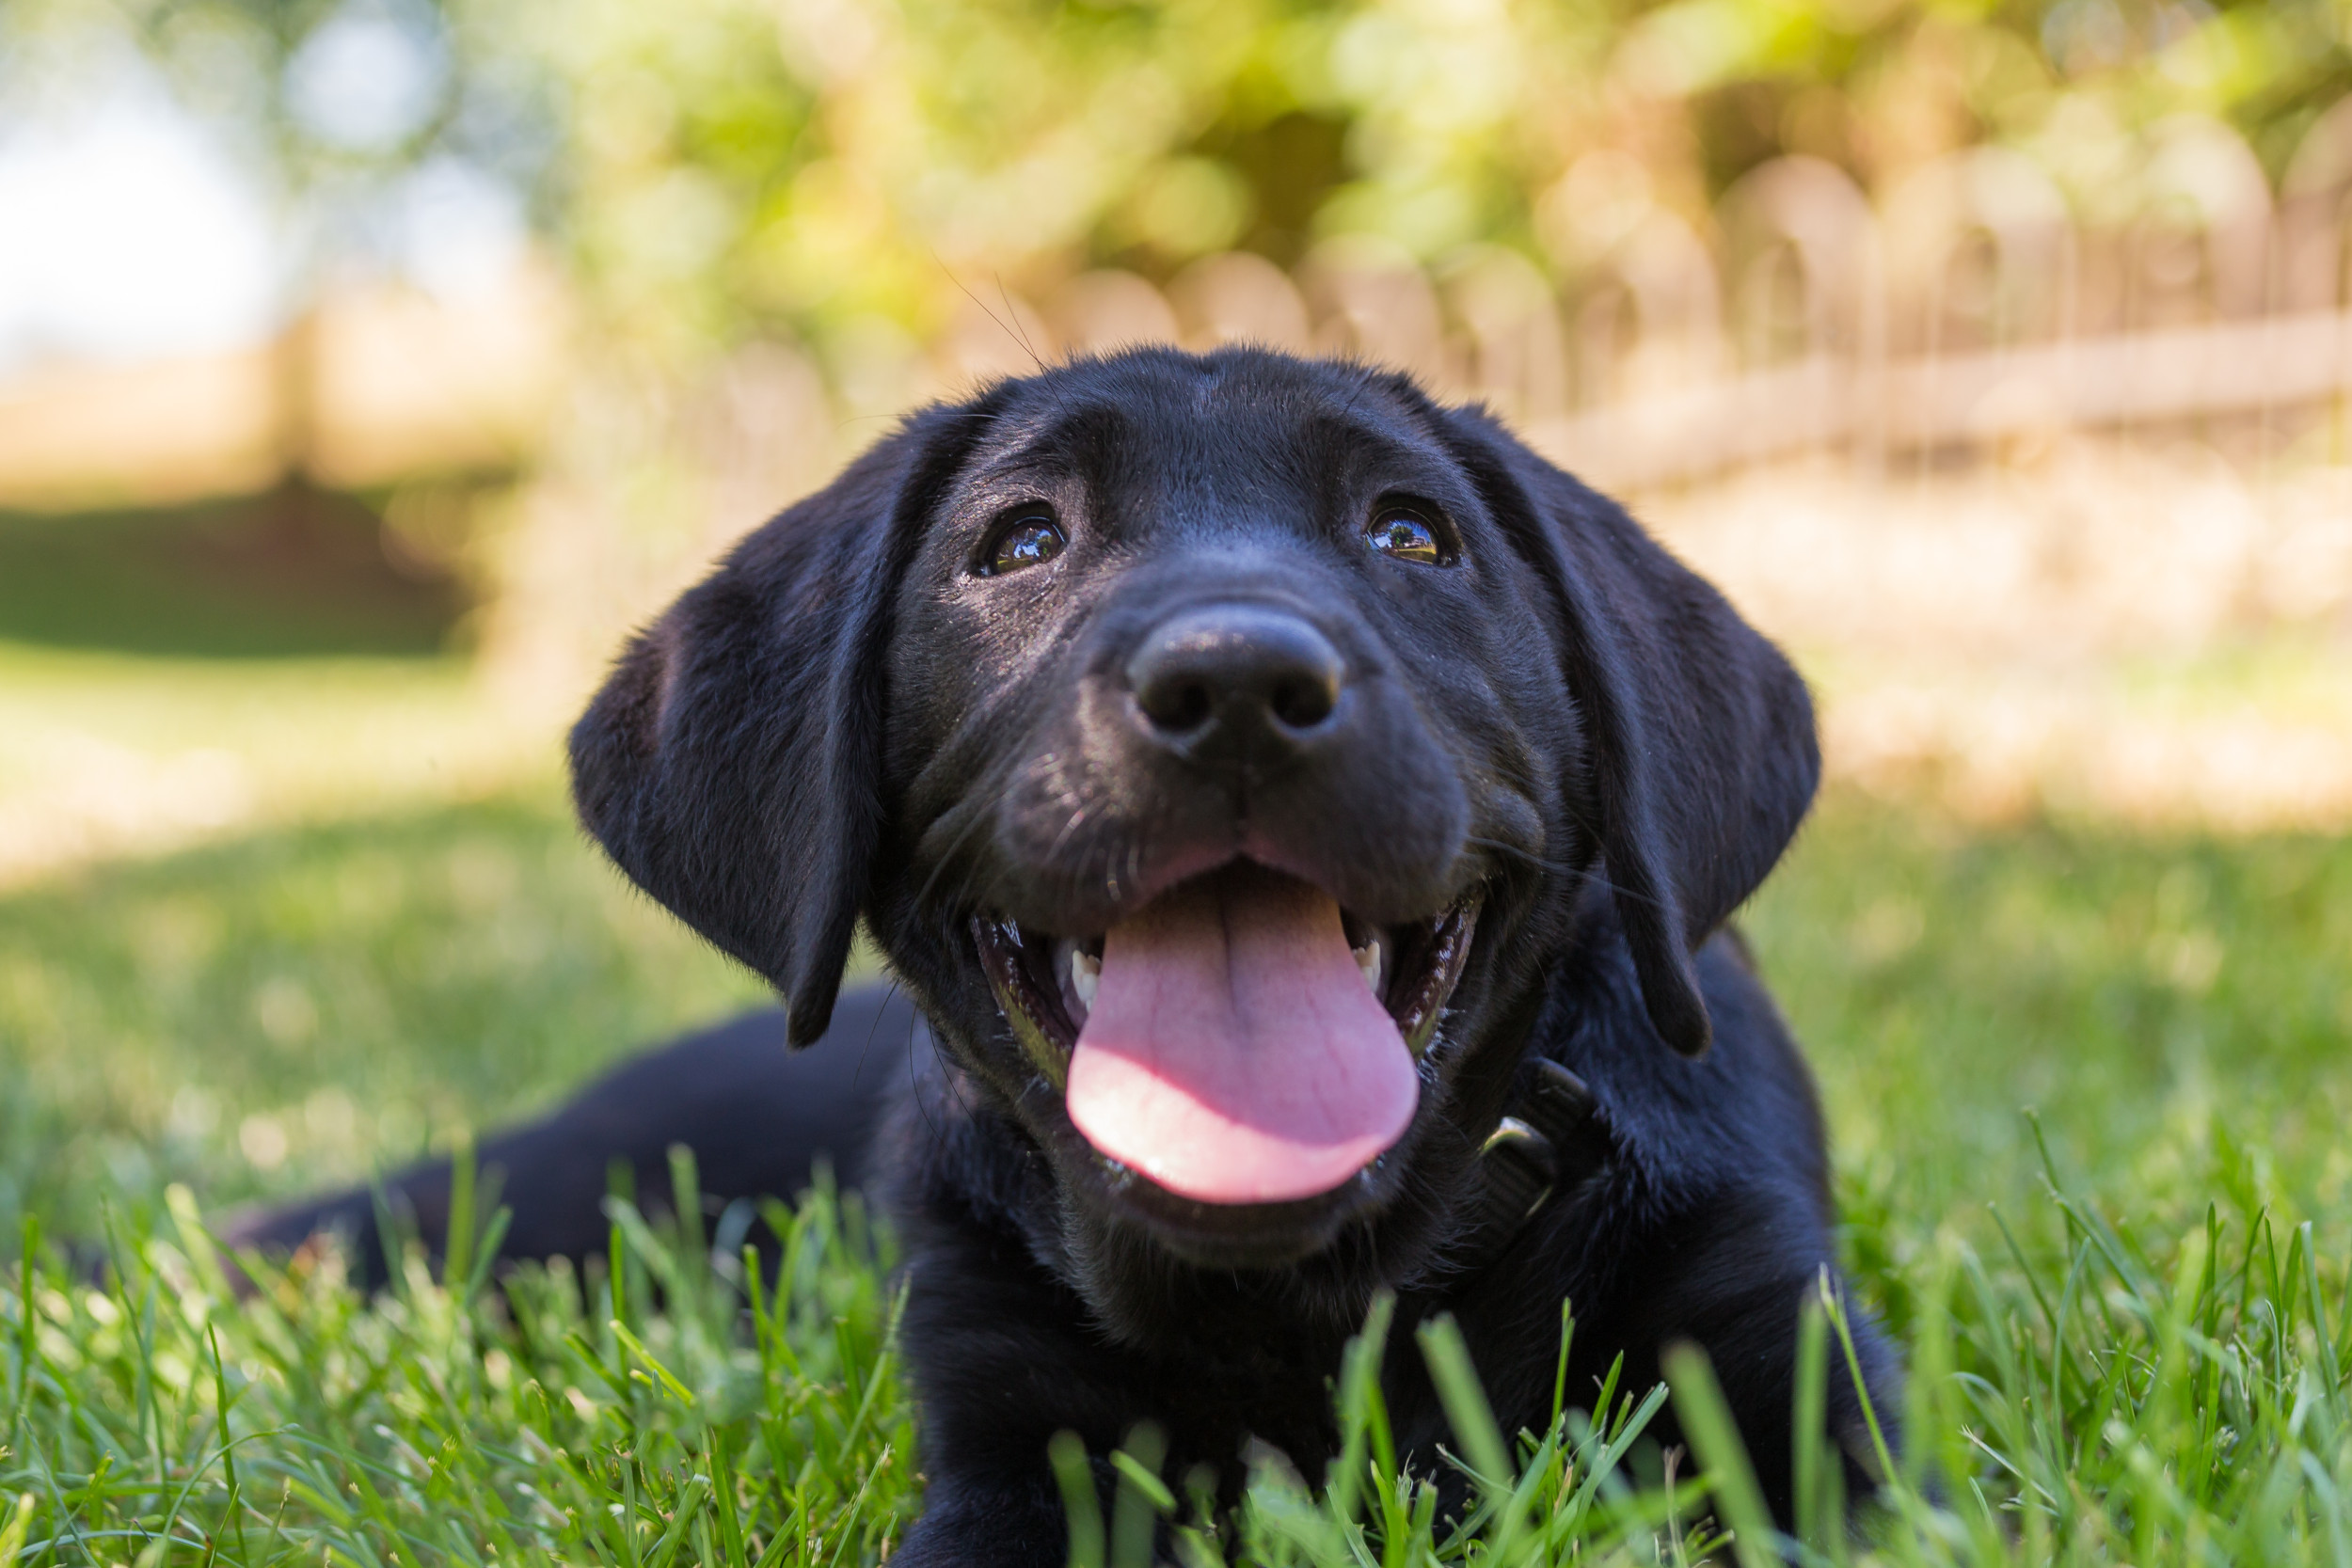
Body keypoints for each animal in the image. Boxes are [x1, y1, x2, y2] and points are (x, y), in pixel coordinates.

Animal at [229, 350, 1900, 1560]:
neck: (1299, 1298)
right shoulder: (1011, 1435)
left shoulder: (1790, 1354)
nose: (1236, 684)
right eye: (1020, 539)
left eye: (1414, 533)